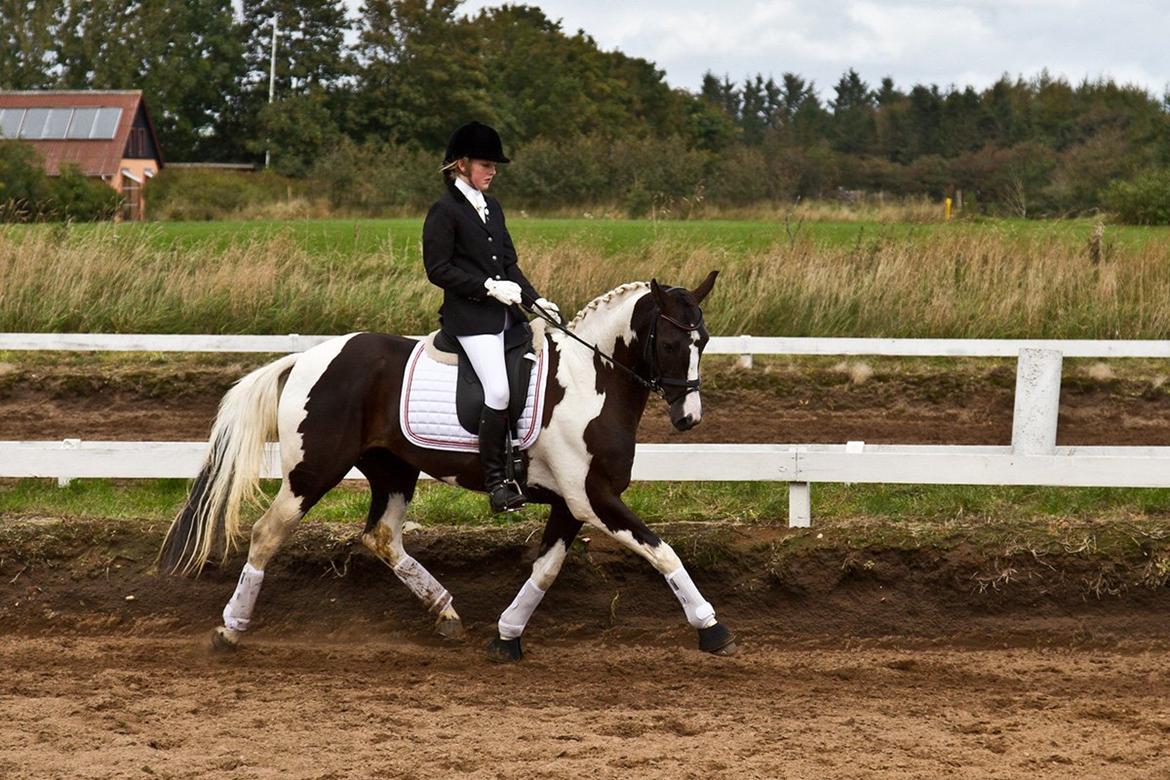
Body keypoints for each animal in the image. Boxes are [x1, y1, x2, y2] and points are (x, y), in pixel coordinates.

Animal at [159, 271, 736, 660]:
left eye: (704, 342)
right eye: (669, 342)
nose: (688, 418)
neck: (591, 381)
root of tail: (307, 358)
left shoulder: (573, 502)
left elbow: (546, 570)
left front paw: (506, 636)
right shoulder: (591, 498)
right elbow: (662, 552)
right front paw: (711, 629)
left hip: (392, 470)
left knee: (382, 537)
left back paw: (445, 612)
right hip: (312, 472)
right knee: (267, 533)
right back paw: (231, 628)